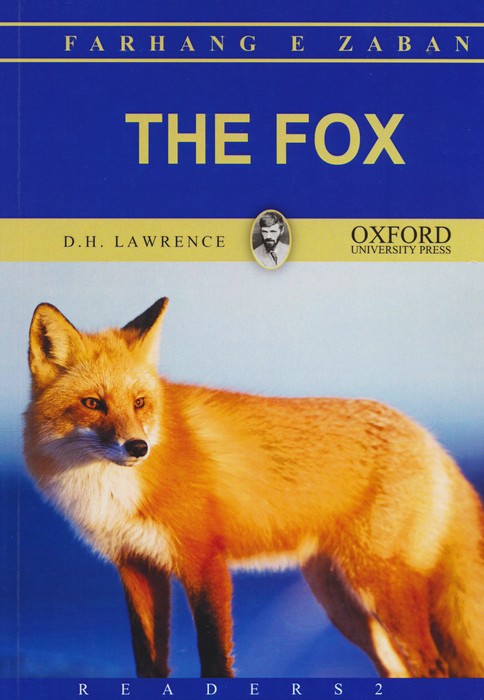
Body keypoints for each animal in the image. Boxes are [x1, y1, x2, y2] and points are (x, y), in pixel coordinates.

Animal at [24, 298, 484, 679]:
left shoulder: (204, 561)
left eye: (139, 403)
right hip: (341, 603)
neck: (113, 490)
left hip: (379, 589)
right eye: (92, 403)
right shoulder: (136, 566)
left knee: (433, 667)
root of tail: (430, 439)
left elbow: (214, 658)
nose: (138, 447)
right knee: (397, 668)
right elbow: (149, 663)